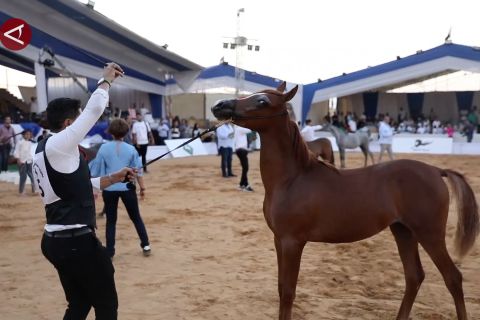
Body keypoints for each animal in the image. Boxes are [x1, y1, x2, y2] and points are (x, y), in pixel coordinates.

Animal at [214, 83, 480, 320]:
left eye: (262, 101)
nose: (219, 106)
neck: (292, 179)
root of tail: (436, 171)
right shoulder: (279, 240)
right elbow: (281, 288)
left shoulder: (292, 242)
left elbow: (289, 292)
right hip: (403, 231)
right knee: (414, 276)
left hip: (429, 233)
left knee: (453, 277)